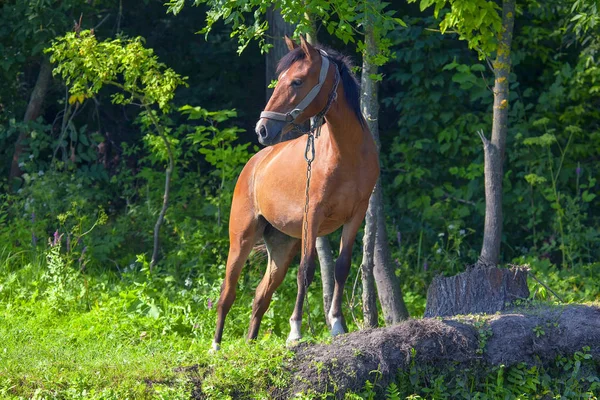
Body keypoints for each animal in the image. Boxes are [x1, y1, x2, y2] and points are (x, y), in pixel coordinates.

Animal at [213, 36, 378, 350]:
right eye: (280, 80)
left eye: (297, 81)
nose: (262, 129)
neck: (347, 154)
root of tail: (254, 165)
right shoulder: (312, 216)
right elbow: (306, 271)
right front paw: (295, 331)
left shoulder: (356, 215)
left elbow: (341, 267)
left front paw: (337, 324)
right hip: (241, 239)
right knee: (227, 292)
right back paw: (215, 347)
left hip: (281, 248)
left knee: (260, 296)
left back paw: (251, 344)